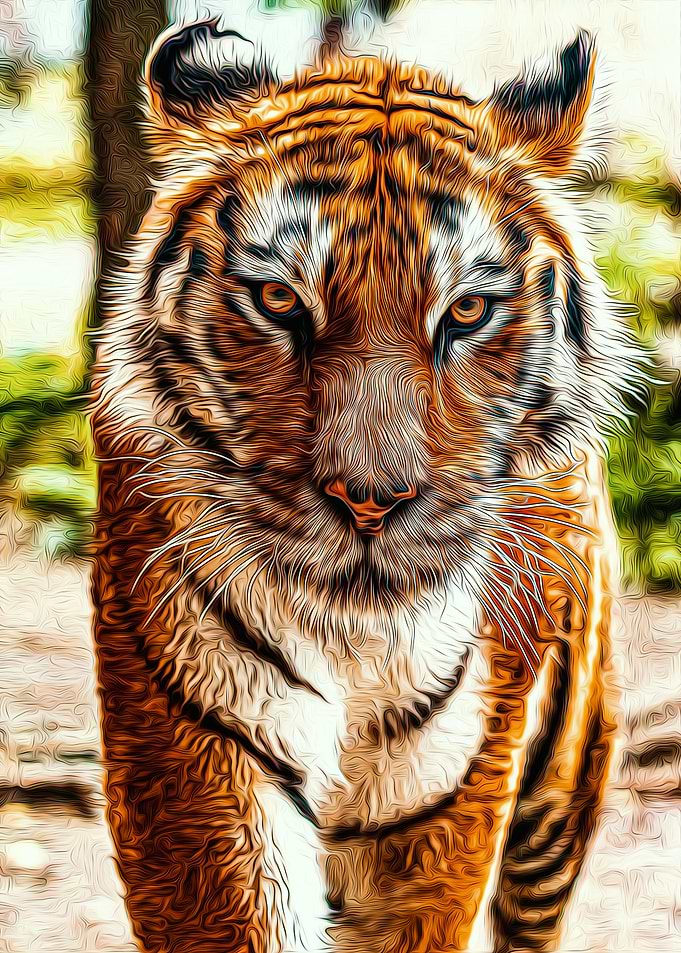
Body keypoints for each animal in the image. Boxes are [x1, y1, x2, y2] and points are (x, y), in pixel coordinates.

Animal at [91, 18, 629, 953]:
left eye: (465, 311)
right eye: (278, 299)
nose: (370, 502)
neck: (355, 641)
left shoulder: (443, 795)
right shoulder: (195, 748)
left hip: (562, 785)